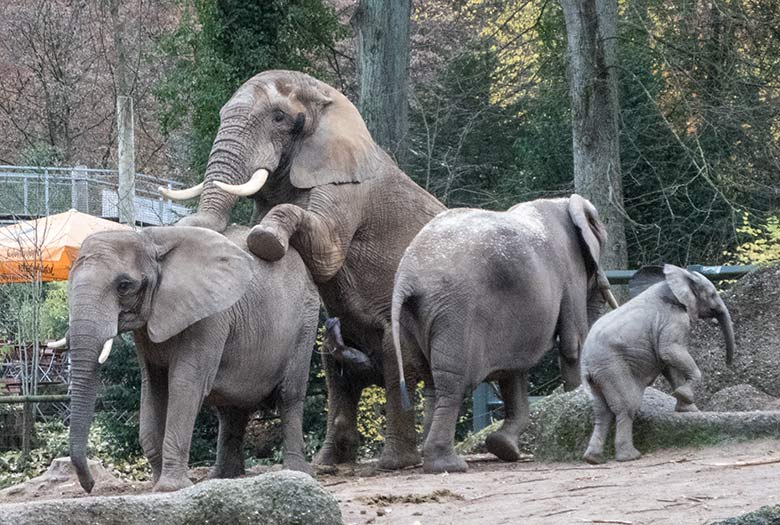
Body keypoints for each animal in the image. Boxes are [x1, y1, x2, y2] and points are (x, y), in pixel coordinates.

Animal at [64, 225, 318, 492]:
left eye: (124, 285)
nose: (90, 486)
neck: (151, 240)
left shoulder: (211, 315)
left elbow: (185, 383)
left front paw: (170, 488)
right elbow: (153, 386)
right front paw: (158, 484)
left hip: (305, 322)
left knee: (289, 395)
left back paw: (295, 472)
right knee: (230, 408)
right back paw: (222, 477)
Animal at [160, 68, 444, 466]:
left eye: (279, 118)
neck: (326, 99)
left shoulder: (345, 188)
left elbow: (327, 255)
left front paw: (264, 239)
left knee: (392, 357)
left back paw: (395, 463)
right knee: (335, 366)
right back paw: (329, 462)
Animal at [390, 194, 616, 472]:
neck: (563, 201)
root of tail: (406, 277)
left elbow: (514, 371)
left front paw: (504, 448)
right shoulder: (570, 269)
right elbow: (573, 346)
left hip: (415, 318)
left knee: (431, 381)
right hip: (454, 313)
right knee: (453, 383)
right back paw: (448, 465)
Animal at [580, 262, 736, 462]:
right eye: (713, 294)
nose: (728, 363)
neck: (673, 280)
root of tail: (585, 364)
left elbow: (669, 365)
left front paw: (689, 409)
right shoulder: (674, 319)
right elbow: (669, 352)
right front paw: (686, 397)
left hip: (599, 374)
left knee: (602, 411)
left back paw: (593, 459)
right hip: (612, 368)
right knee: (626, 406)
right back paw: (630, 456)